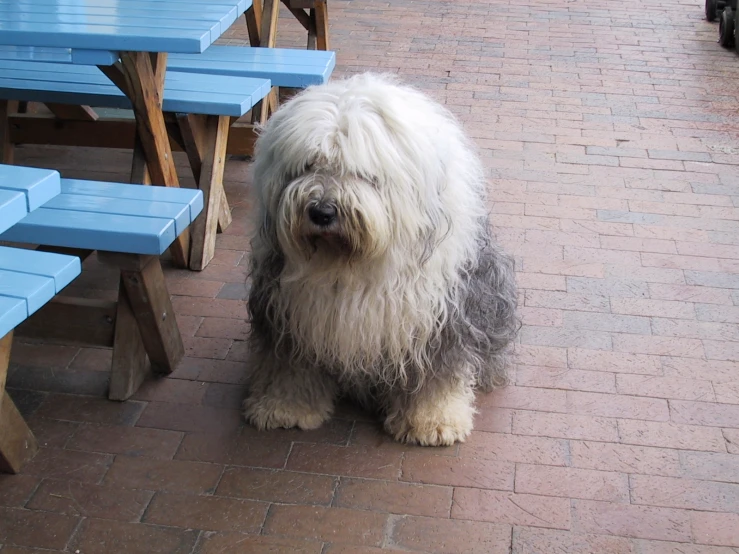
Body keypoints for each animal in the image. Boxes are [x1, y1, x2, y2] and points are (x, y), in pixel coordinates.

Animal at [244, 73, 520, 444]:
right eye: (308, 165)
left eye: (361, 173)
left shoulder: (436, 321)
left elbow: (435, 375)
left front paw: (433, 422)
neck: (348, 265)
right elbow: (289, 366)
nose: (321, 212)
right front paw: (285, 409)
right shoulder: (288, 316)